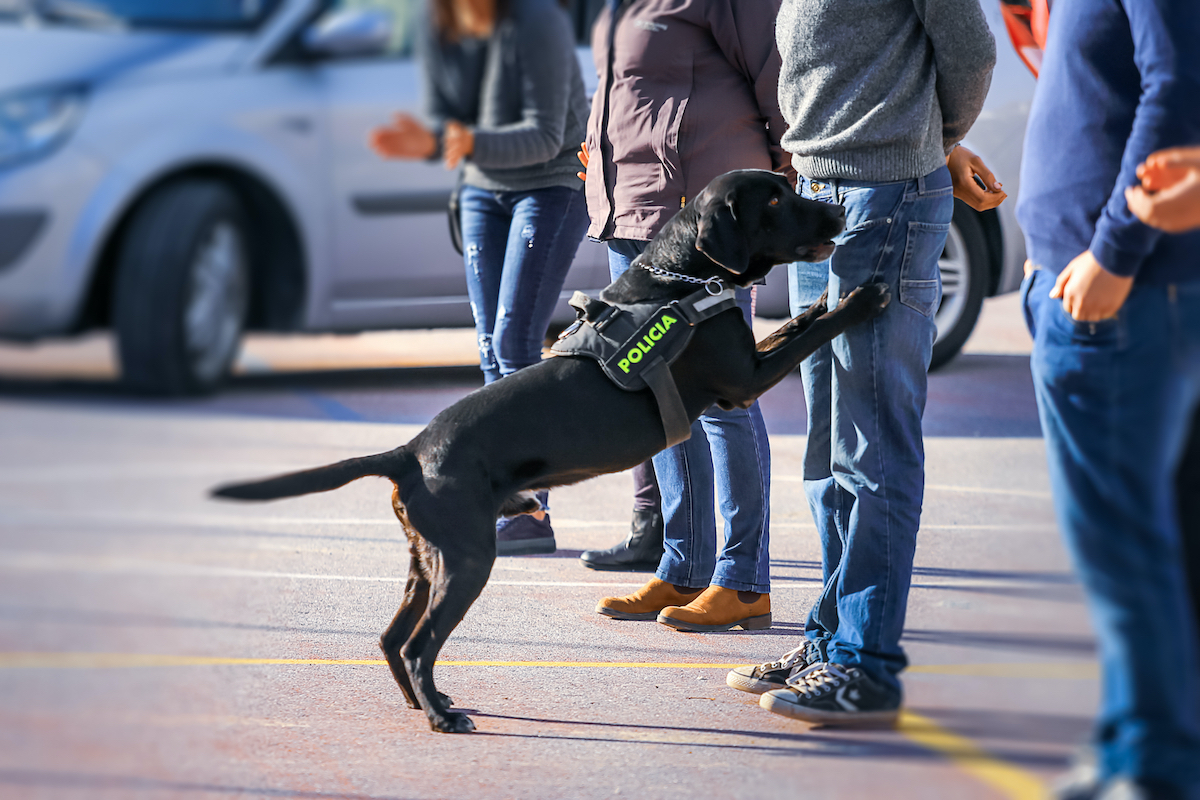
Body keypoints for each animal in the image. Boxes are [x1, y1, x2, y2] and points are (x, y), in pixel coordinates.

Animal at [213, 172, 892, 734]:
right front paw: (860, 298)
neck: (684, 277)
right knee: (415, 643)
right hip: (466, 559)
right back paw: (440, 717)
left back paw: (422, 702)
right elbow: (810, 333)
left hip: (427, 559)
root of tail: (411, 449)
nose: (837, 211)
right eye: (774, 200)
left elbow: (800, 322)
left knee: (389, 639)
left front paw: (826, 297)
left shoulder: (747, 362)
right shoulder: (743, 380)